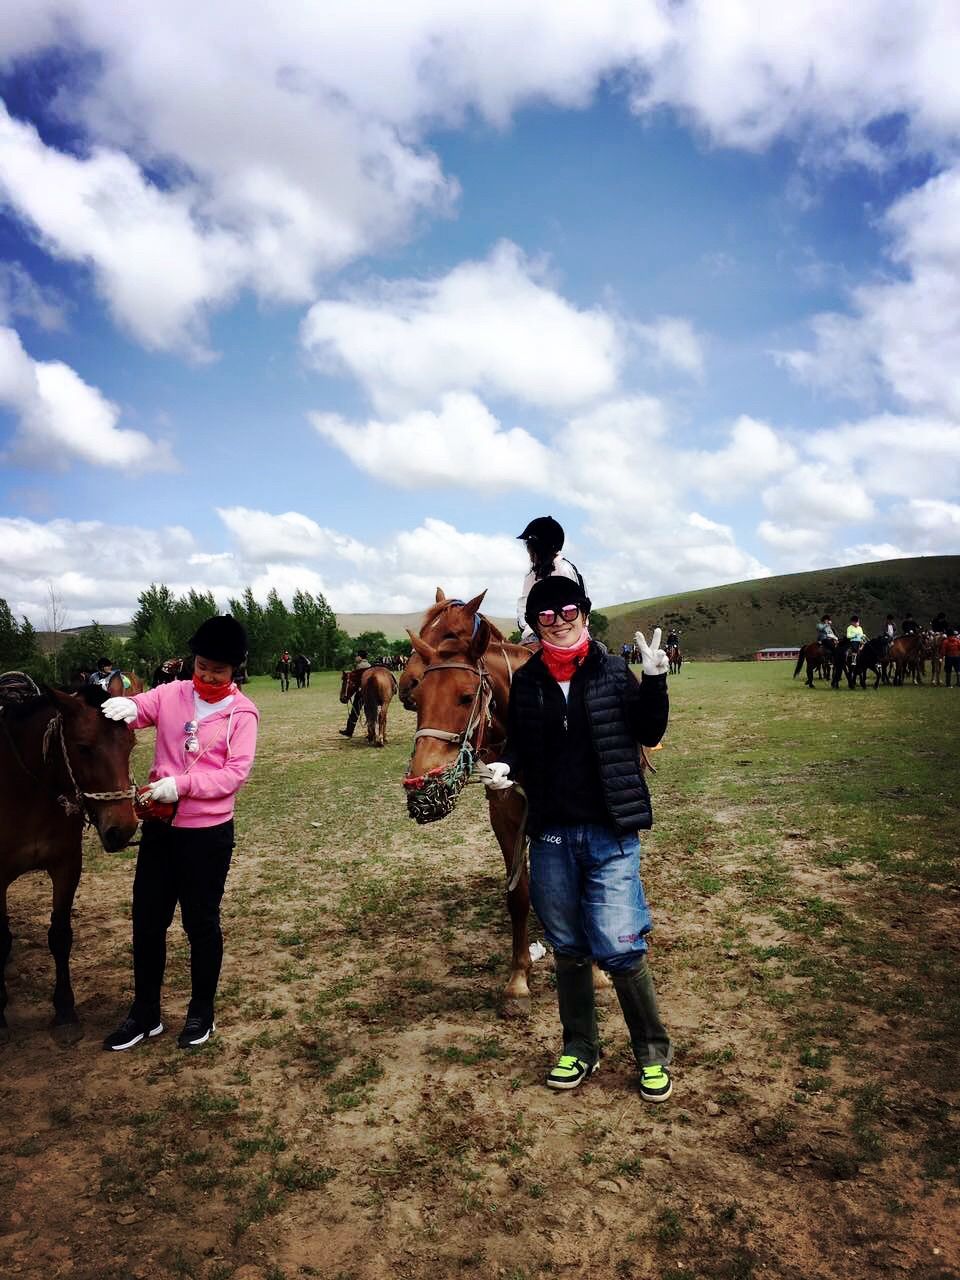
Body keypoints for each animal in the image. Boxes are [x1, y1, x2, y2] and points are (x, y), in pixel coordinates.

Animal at [0, 675, 138, 1034]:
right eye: (83, 747)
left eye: (131, 744)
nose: (123, 829)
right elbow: (0, 938)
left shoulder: (66, 865)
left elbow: (60, 936)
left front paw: (64, 1009)